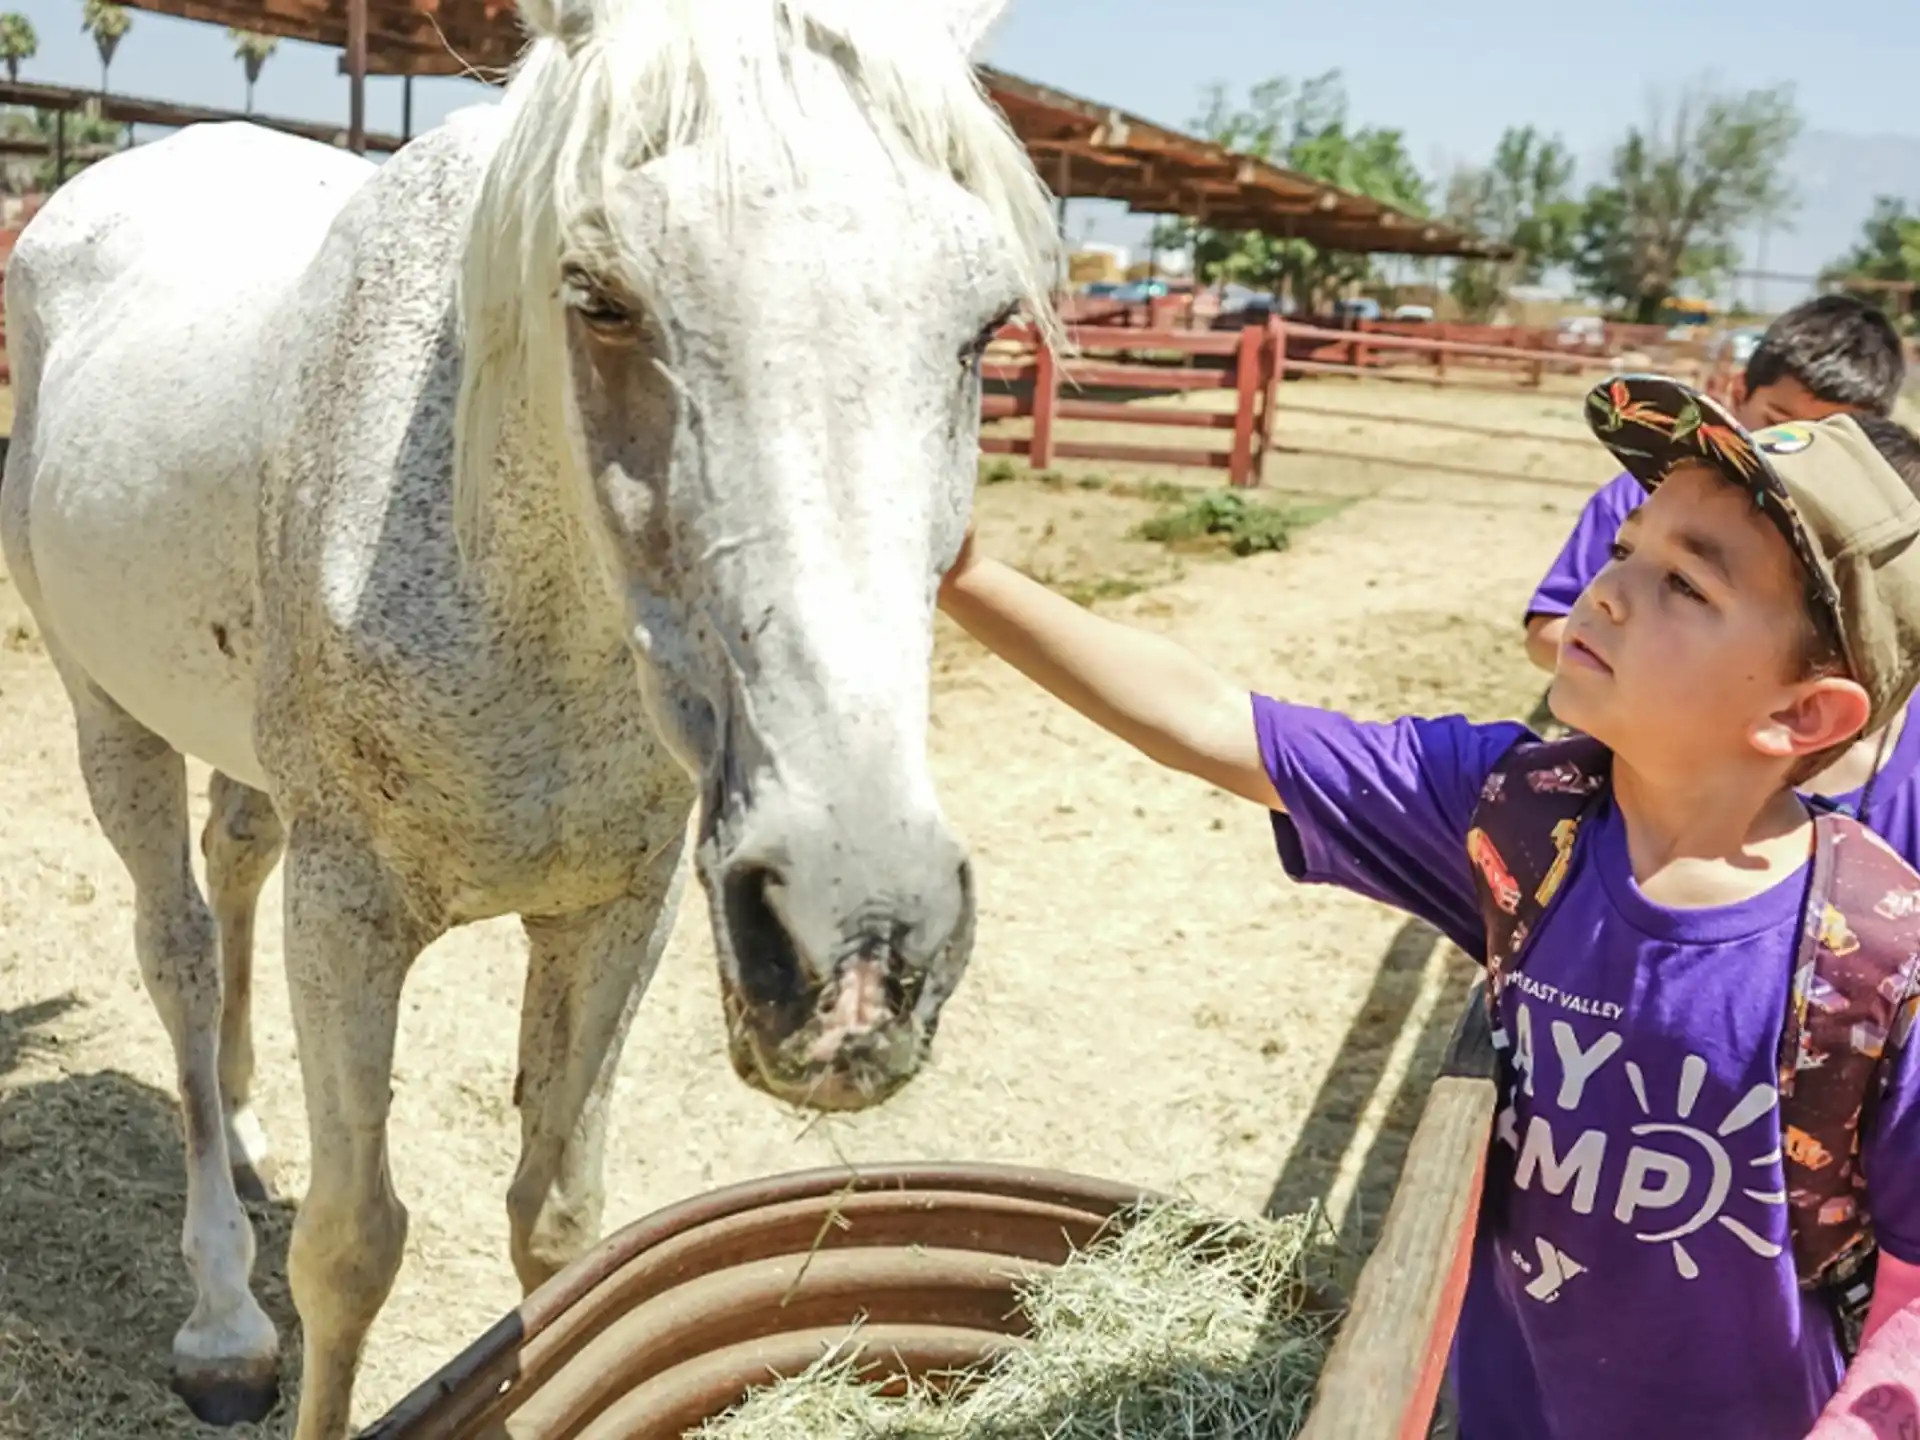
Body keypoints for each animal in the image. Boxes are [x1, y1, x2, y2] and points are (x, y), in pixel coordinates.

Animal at [0, 0, 1058, 1432]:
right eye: (599, 297)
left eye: (986, 325)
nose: (859, 947)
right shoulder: (348, 915)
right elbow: (351, 1249)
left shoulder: (620, 909)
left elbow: (559, 1231)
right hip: (106, 713)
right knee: (177, 951)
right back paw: (221, 1312)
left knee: (233, 868)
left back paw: (253, 1122)